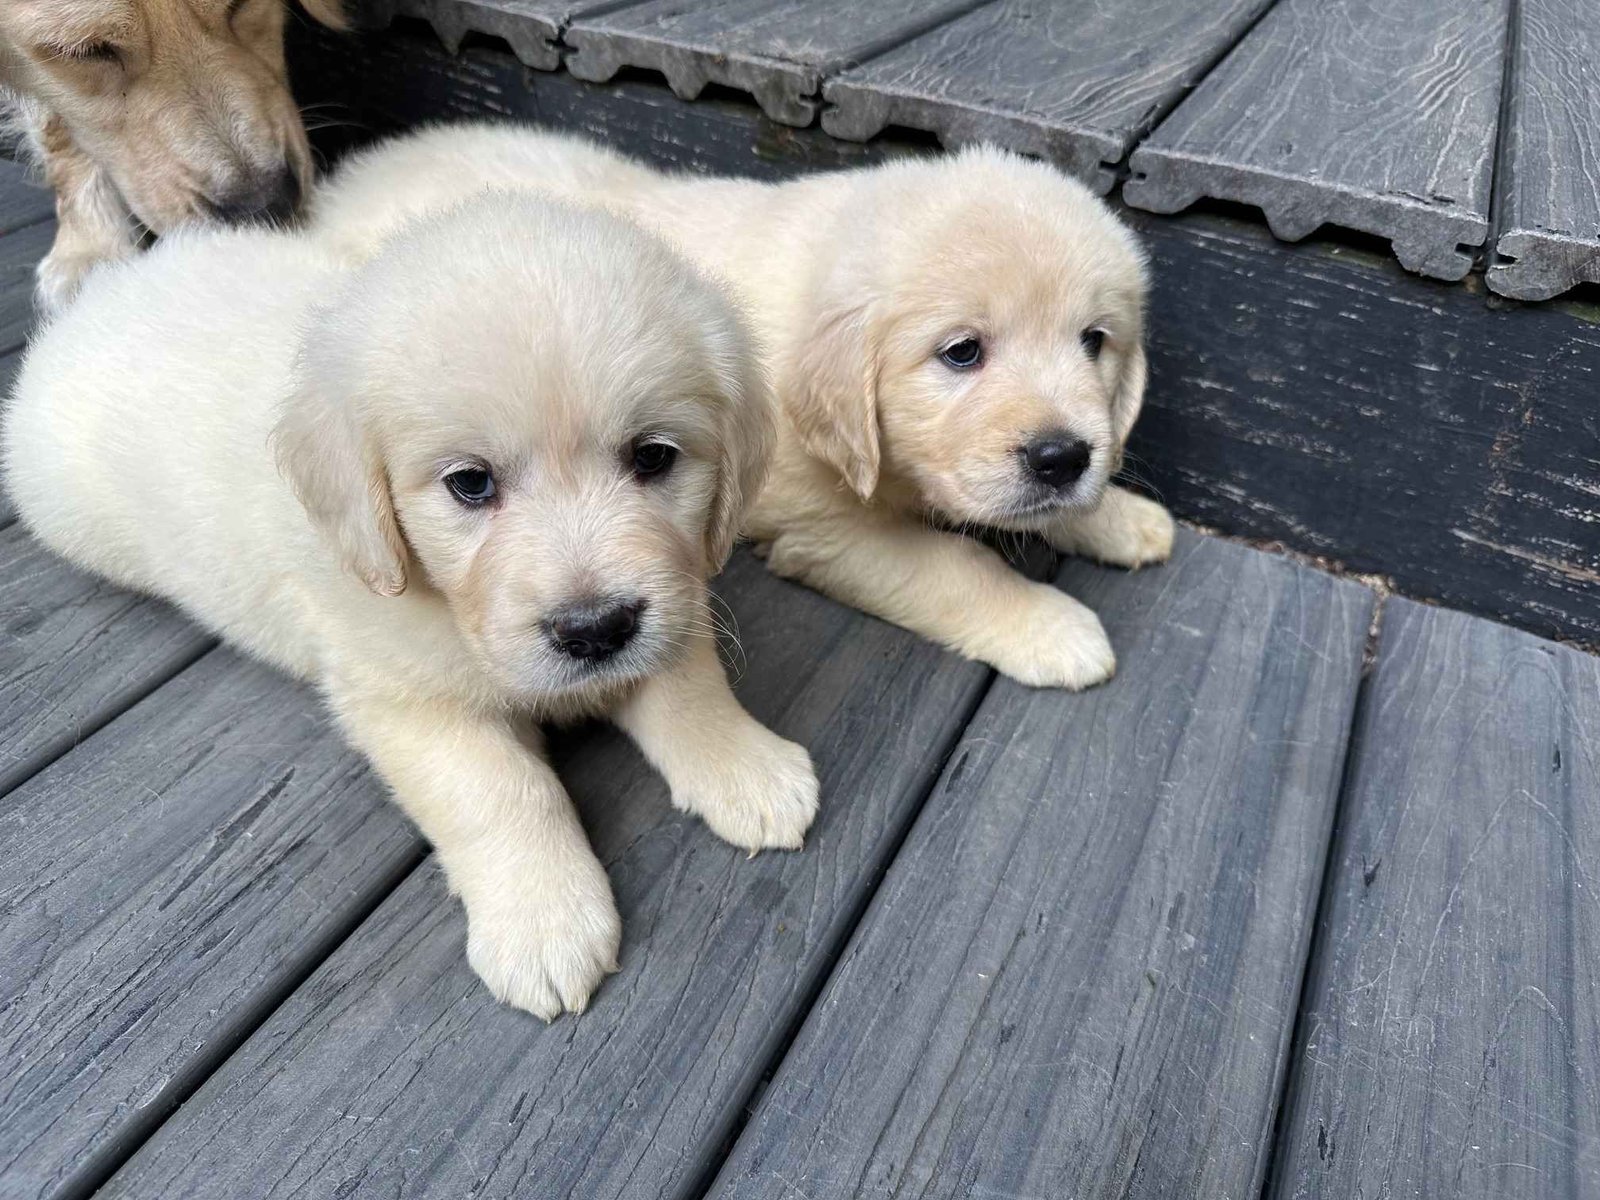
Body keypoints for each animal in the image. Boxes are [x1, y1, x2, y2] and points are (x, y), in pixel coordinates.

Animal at [3, 192, 825, 1017]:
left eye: (653, 456)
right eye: (471, 483)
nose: (595, 632)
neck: (450, 610)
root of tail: (103, 296)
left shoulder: (675, 592)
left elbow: (687, 683)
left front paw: (745, 768)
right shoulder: (401, 698)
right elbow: (502, 789)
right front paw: (544, 920)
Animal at [308, 123, 1177, 691]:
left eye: (1095, 341)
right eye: (962, 352)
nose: (1061, 457)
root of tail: (346, 182)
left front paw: (1117, 515)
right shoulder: (821, 530)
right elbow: (957, 566)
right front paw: (1049, 625)